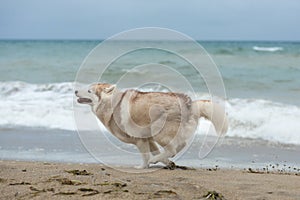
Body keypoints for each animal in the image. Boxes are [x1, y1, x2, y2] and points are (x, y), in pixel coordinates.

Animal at [75, 83, 227, 169]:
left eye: (89, 91)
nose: (75, 91)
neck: (112, 104)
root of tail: (189, 104)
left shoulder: (140, 139)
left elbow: (145, 156)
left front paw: (143, 166)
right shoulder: (148, 138)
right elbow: (156, 151)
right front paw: (167, 163)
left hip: (159, 130)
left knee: (172, 149)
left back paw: (155, 160)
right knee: (179, 146)